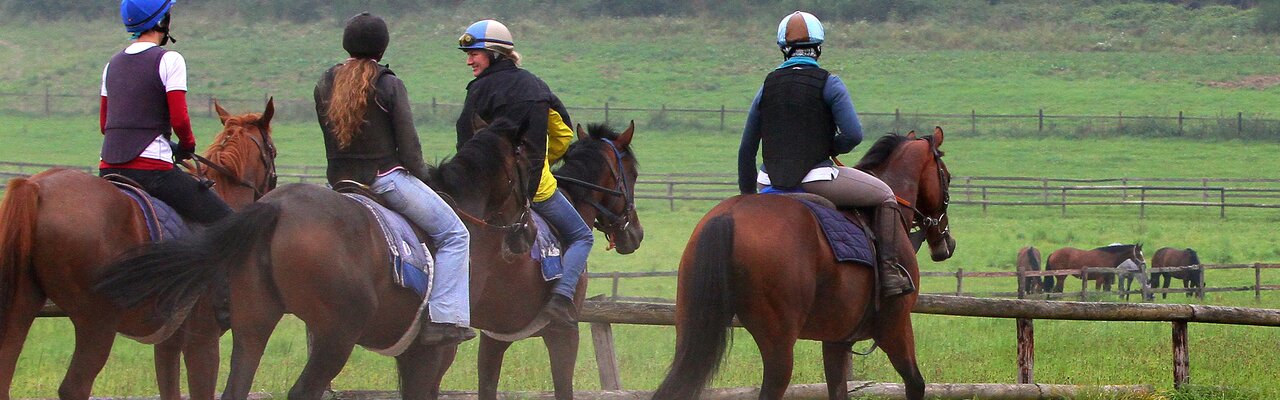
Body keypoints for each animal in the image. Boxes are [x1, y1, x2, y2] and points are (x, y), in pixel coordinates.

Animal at [0, 99, 277, 400]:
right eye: (273, 150)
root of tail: (35, 187)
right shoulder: (203, 337)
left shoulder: (169, 341)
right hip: (97, 323)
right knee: (74, 386)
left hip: (22, 307)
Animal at [93, 121, 535, 400]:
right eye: (528, 163)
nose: (527, 232)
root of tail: (276, 207)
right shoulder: (431, 351)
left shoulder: (410, 352)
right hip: (335, 336)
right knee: (303, 390)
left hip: (255, 324)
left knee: (236, 388)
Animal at [655, 128, 957, 400]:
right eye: (947, 177)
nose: (947, 243)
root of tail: (730, 214)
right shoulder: (896, 327)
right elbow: (915, 384)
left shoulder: (836, 339)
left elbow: (838, 391)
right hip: (779, 343)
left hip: (690, 327)